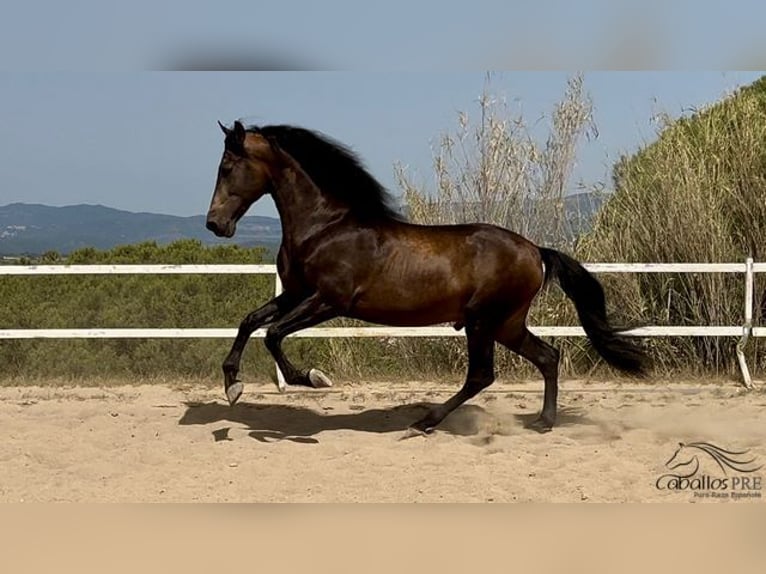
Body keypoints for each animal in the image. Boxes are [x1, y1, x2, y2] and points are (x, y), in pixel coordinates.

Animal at [204, 122, 648, 436]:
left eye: (227, 167)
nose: (214, 224)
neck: (325, 227)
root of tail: (536, 251)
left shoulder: (328, 300)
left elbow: (273, 334)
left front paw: (312, 379)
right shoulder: (295, 293)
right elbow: (249, 322)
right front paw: (232, 386)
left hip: (483, 320)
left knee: (482, 375)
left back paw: (424, 423)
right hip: (506, 323)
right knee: (547, 357)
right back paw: (542, 422)